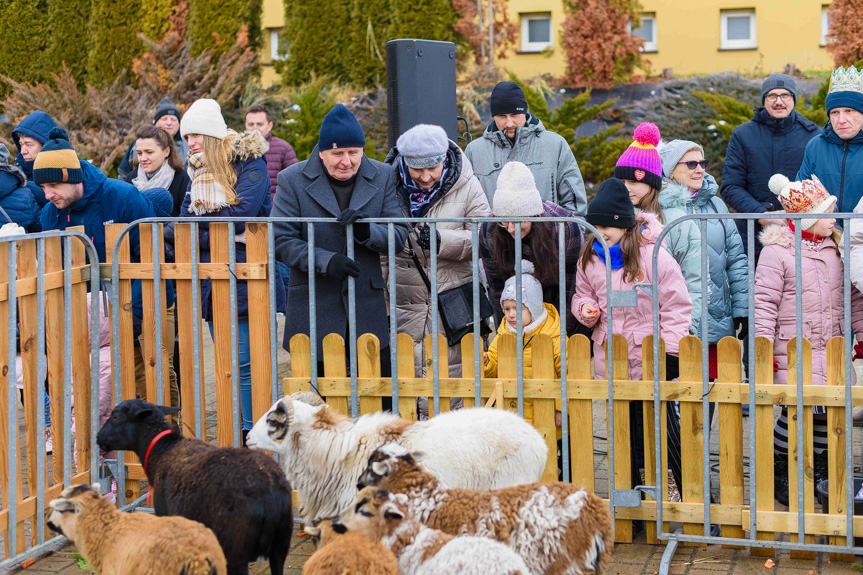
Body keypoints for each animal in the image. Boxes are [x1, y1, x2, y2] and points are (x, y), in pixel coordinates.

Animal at [98, 400, 294, 575]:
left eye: (115, 417)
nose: (98, 437)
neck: (162, 451)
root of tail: (270, 492)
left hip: (235, 551)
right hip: (280, 547)